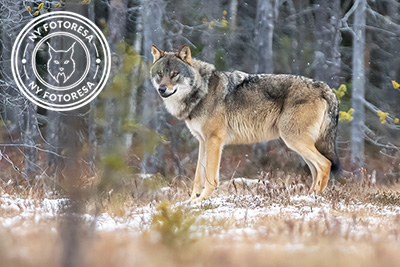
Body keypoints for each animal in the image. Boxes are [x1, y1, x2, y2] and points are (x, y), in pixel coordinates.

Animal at [150, 45, 340, 203]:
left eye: (174, 74)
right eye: (160, 74)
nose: (161, 89)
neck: (201, 91)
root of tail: (326, 88)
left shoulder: (214, 140)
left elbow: (210, 178)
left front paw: (201, 200)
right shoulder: (203, 141)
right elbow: (198, 176)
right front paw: (190, 201)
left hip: (294, 140)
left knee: (325, 164)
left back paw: (314, 198)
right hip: (299, 145)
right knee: (316, 170)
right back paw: (307, 196)